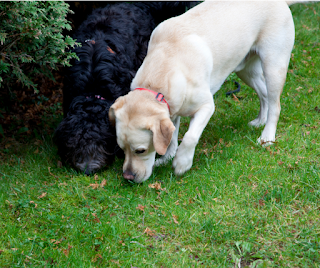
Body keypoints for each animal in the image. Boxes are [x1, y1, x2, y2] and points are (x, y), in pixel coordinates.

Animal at [109, 1, 296, 183]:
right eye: (122, 148)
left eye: (140, 150)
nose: (128, 177)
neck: (160, 74)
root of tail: (281, 2)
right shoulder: (172, 108)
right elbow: (172, 136)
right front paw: (167, 157)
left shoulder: (206, 106)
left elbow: (190, 136)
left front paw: (181, 162)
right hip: (246, 70)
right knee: (264, 95)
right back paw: (260, 120)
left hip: (274, 67)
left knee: (275, 105)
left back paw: (267, 136)